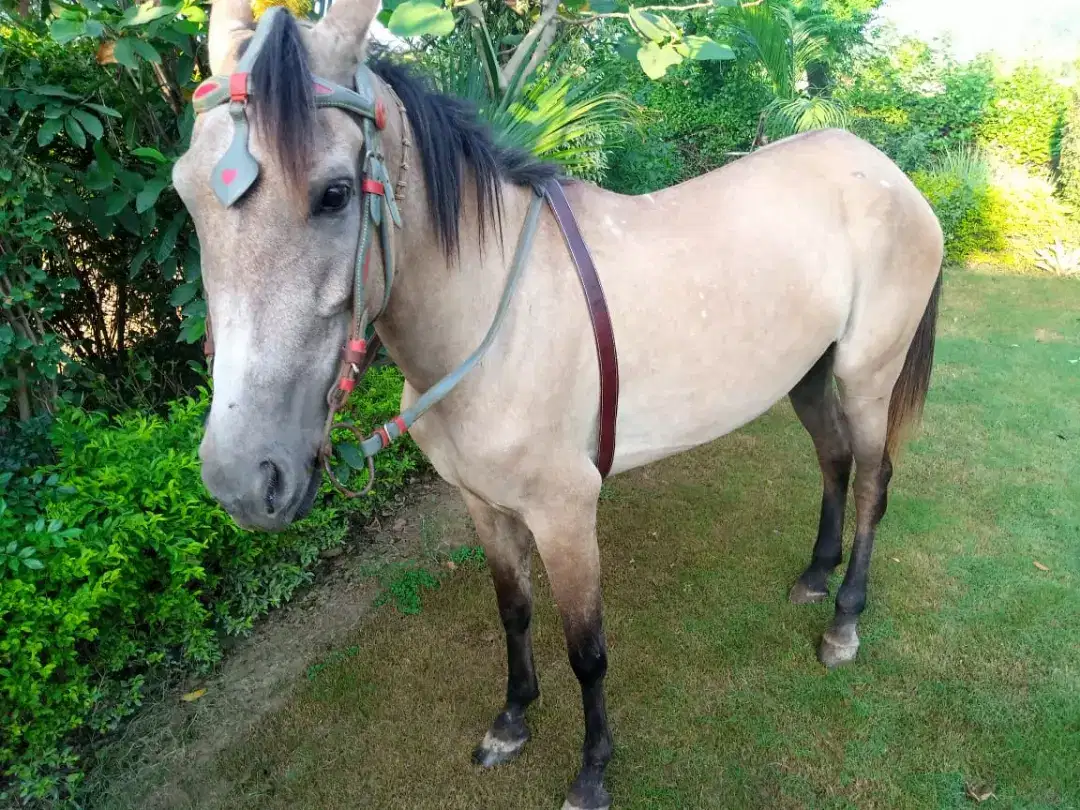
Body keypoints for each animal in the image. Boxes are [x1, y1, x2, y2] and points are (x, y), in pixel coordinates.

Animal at [173, 1, 944, 807]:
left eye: (333, 193)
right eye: (186, 193)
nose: (243, 479)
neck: (493, 318)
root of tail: (882, 167)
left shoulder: (566, 512)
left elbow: (588, 649)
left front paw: (593, 769)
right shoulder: (482, 503)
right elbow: (514, 611)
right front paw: (512, 719)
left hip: (866, 375)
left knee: (873, 482)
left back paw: (844, 621)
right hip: (808, 374)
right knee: (832, 460)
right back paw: (817, 576)